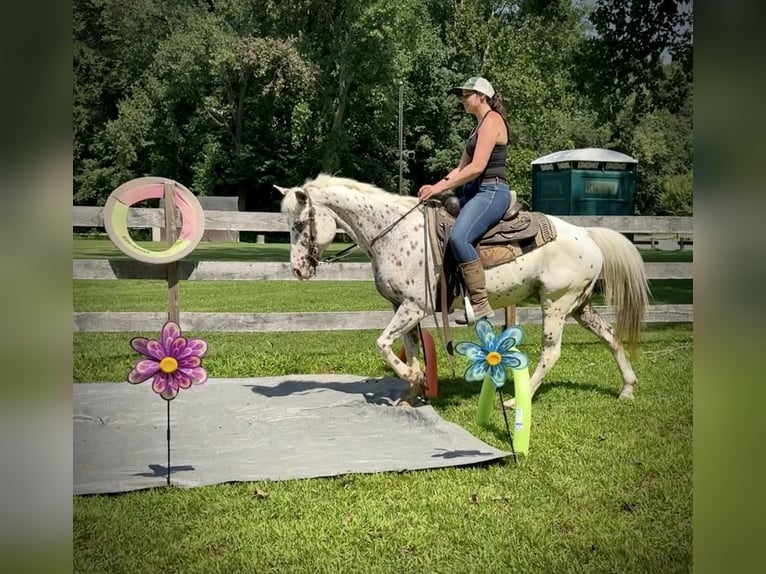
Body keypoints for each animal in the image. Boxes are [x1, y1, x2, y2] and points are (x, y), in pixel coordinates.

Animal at [276, 173, 648, 408]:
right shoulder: (402, 307)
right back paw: (628, 388)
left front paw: (412, 377)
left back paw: (515, 399)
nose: (298, 269)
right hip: (579, 305)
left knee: (551, 353)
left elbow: (382, 344)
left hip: (555, 304)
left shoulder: (413, 306)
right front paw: (413, 389)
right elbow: (410, 348)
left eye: (299, 224)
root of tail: (585, 233)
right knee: (611, 336)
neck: (394, 232)